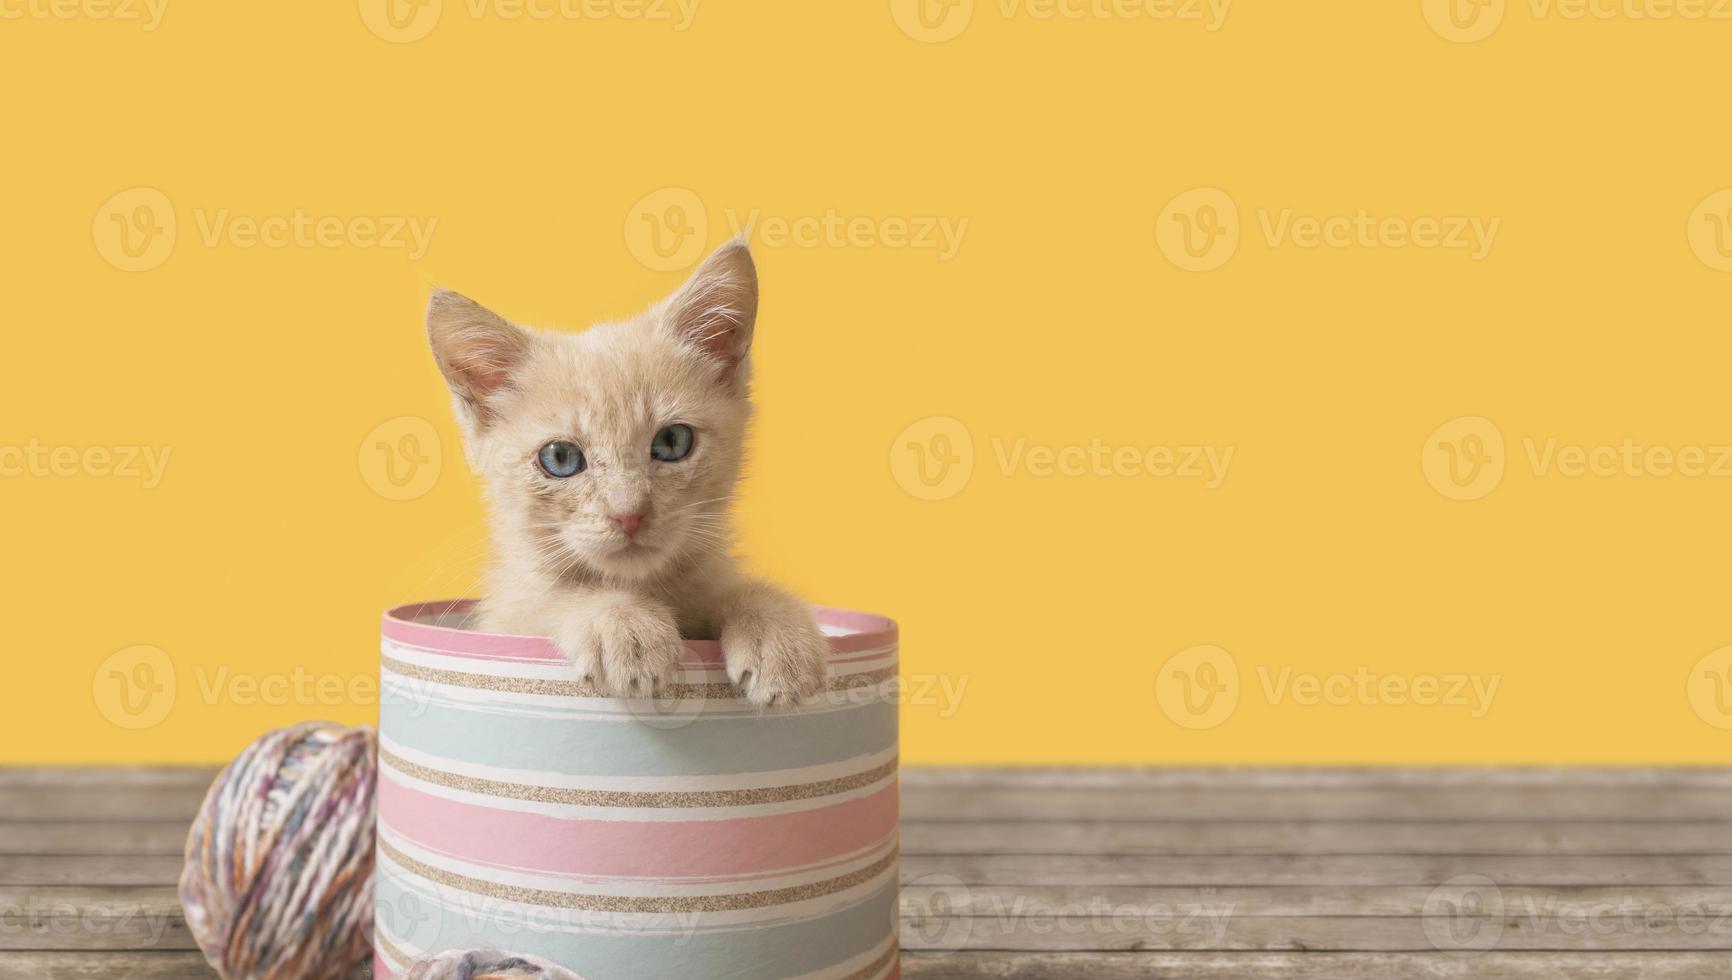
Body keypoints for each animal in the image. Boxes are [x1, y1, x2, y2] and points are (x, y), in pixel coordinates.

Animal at [431, 242, 831, 709]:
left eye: (673, 441)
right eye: (560, 458)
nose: (629, 514)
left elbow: (734, 589)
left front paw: (779, 634)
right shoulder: (508, 611)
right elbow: (553, 596)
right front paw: (624, 623)